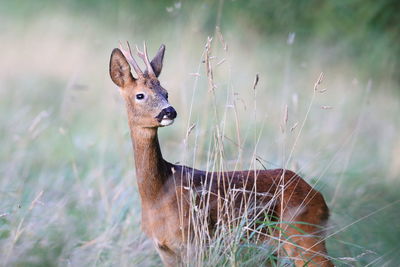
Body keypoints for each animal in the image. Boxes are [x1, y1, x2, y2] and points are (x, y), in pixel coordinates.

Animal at [109, 42, 334, 267]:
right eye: (140, 95)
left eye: (166, 92)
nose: (169, 111)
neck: (158, 194)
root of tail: (319, 196)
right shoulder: (165, 249)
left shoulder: (195, 241)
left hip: (302, 233)